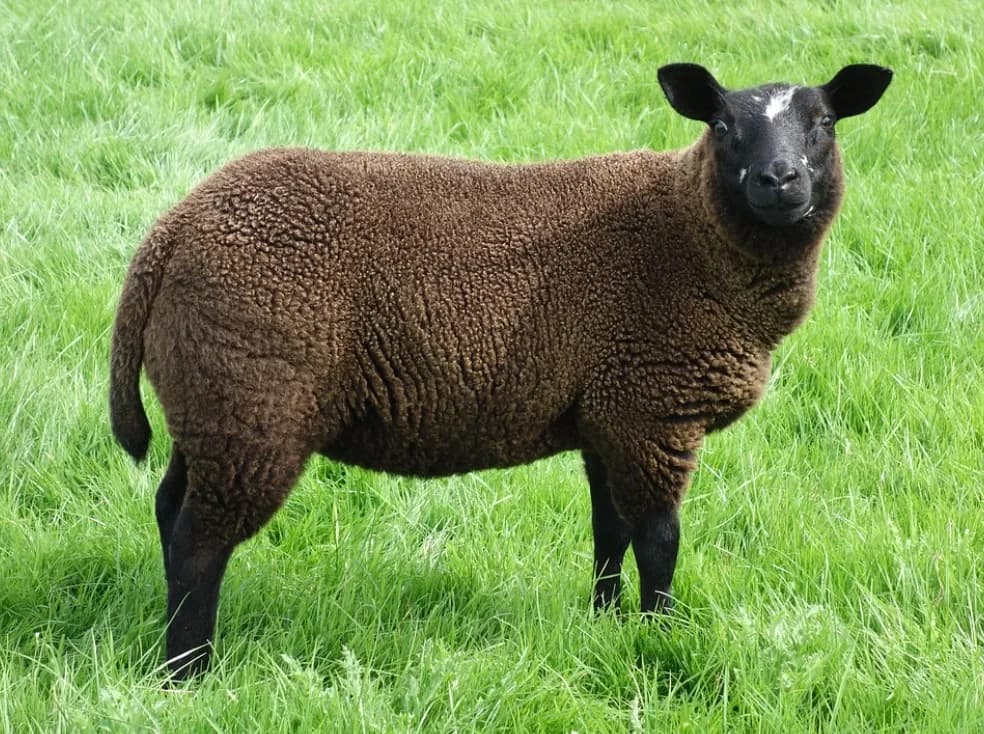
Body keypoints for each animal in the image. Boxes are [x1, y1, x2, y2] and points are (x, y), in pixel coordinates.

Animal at [110, 62, 892, 678]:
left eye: (824, 123)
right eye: (724, 126)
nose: (779, 180)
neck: (692, 236)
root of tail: (170, 233)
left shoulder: (606, 413)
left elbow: (608, 531)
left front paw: (605, 622)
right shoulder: (651, 410)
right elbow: (659, 541)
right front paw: (659, 634)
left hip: (209, 403)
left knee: (169, 509)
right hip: (254, 404)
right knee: (200, 541)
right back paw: (188, 672)